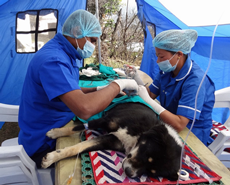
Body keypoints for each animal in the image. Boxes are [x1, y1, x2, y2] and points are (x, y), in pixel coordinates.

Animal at [41, 102, 181, 180]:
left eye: (151, 172)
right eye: (147, 154)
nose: (129, 172)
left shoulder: (112, 140)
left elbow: (80, 147)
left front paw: (54, 156)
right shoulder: (105, 120)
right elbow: (75, 128)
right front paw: (55, 133)